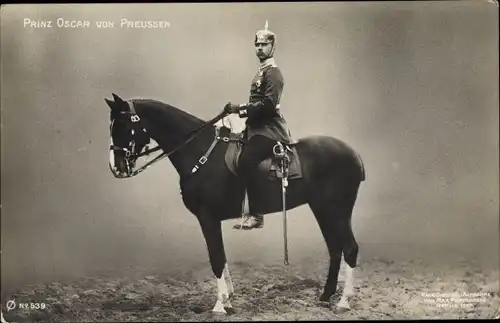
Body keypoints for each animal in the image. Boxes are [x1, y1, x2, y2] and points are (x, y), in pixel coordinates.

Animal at [105, 93, 366, 314]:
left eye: (122, 125)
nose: (115, 167)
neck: (200, 150)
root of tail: (353, 153)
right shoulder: (211, 220)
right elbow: (221, 258)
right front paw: (228, 297)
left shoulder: (207, 218)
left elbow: (216, 259)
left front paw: (221, 305)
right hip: (323, 210)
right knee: (335, 249)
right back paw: (326, 295)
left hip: (337, 211)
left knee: (349, 248)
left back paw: (344, 301)